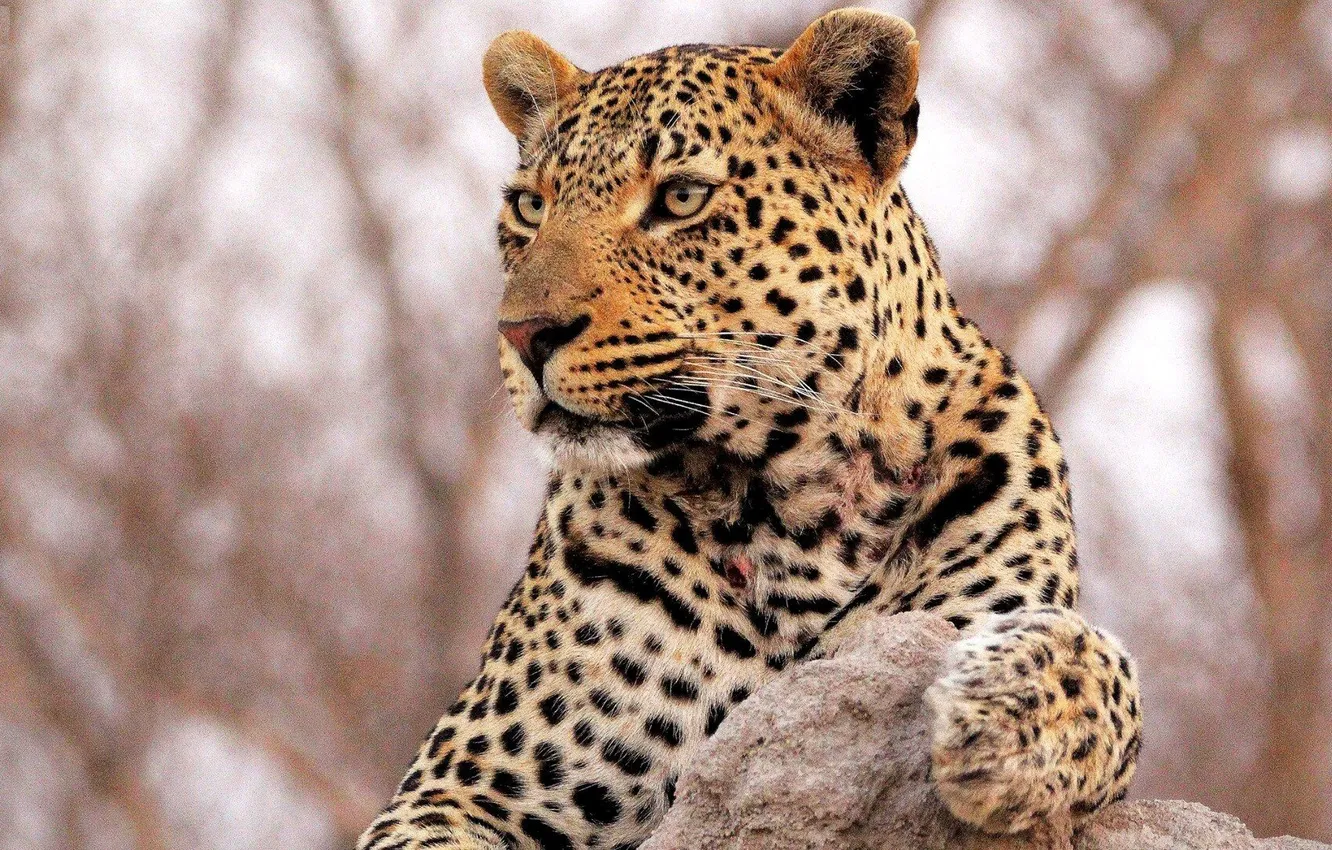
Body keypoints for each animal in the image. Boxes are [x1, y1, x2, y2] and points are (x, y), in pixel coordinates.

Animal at [357, 10, 1143, 850]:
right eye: (530, 207)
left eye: (680, 198)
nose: (524, 333)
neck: (799, 502)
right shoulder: (457, 784)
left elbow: (1099, 660)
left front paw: (1000, 724)